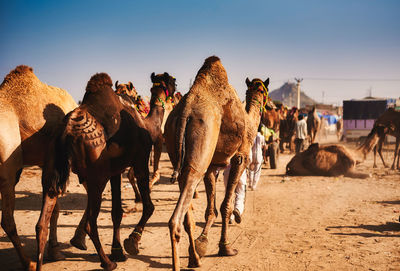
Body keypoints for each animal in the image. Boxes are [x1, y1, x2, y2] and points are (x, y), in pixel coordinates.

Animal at [0, 65, 77, 270]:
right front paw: (55, 251)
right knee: (7, 220)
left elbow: (55, 209)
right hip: (8, 169)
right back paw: (29, 263)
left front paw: (54, 250)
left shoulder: (47, 162)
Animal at [35, 71, 176, 270]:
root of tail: (66, 132)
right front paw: (131, 242)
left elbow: (117, 212)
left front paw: (118, 251)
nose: (176, 90)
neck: (147, 124)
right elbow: (149, 206)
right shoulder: (139, 161)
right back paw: (107, 262)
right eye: (172, 81)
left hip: (52, 170)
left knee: (41, 224)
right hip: (97, 177)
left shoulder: (116, 170)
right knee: (90, 223)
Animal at [162, 56, 268, 270]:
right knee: (175, 218)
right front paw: (225, 248)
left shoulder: (212, 165)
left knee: (186, 205)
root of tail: (185, 111)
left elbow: (210, 210)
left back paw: (195, 258)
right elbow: (225, 205)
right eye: (265, 92)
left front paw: (202, 244)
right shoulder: (240, 156)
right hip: (202, 144)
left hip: (174, 146)